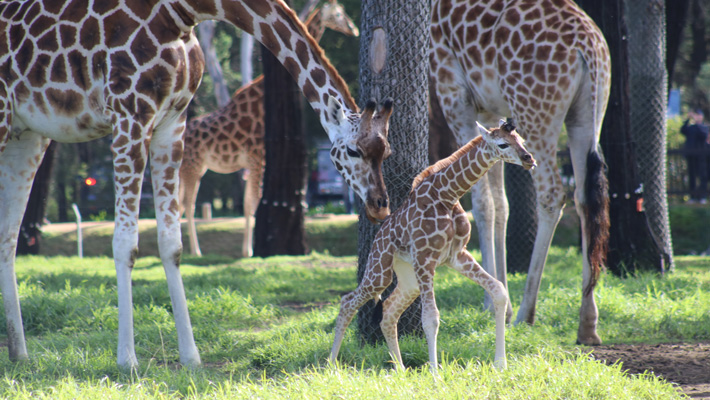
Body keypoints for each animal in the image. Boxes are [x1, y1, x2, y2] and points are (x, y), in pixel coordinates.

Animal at [182, 0, 362, 258]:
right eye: (338, 14)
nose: (354, 30)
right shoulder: (256, 156)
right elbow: (251, 204)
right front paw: (249, 251)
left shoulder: (255, 159)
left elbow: (250, 203)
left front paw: (249, 248)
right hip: (193, 166)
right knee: (188, 203)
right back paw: (195, 251)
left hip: (190, 167)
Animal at [330, 119, 536, 372]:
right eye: (502, 144)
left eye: (521, 140)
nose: (528, 159)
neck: (447, 195)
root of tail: (379, 238)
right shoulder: (424, 258)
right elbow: (431, 318)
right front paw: (435, 373)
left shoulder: (457, 255)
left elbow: (498, 290)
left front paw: (500, 364)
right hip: (380, 271)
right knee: (348, 302)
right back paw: (331, 364)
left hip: (408, 278)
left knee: (388, 311)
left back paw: (400, 369)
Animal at [432, 0, 616, 346]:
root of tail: (588, 46)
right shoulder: (489, 113)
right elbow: (500, 204)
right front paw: (497, 296)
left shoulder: (454, 92)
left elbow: (483, 204)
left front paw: (493, 305)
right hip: (589, 113)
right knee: (585, 197)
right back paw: (587, 323)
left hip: (536, 112)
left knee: (552, 193)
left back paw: (525, 314)